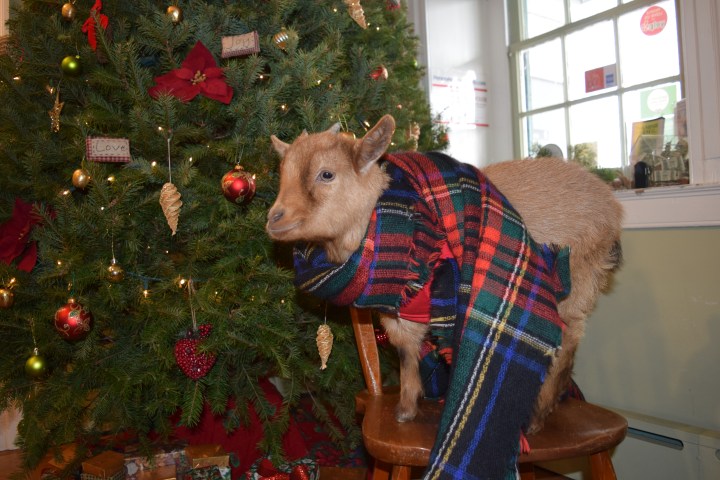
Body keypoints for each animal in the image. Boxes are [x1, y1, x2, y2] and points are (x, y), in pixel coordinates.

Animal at [266, 114, 623, 433]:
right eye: (283, 172)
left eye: (327, 174)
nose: (274, 218)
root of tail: (611, 208)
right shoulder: (400, 314)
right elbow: (407, 353)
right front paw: (406, 410)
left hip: (575, 285)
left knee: (567, 340)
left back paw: (538, 415)